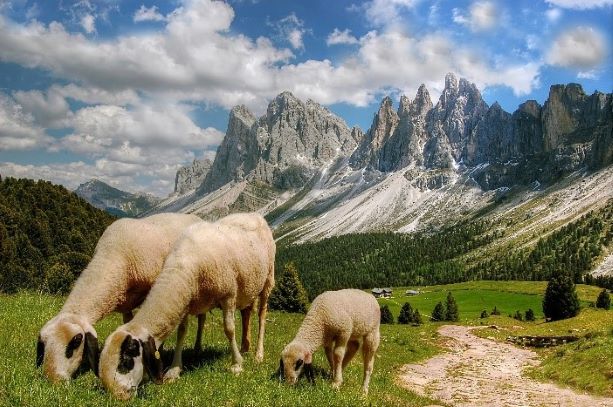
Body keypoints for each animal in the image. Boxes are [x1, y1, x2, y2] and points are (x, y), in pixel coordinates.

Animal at [37, 212, 202, 384]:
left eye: (76, 341)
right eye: (43, 343)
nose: (53, 379)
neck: (113, 255)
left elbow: (179, 329)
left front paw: (169, 368)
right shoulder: (126, 302)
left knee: (200, 320)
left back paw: (197, 348)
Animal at [98, 214, 274, 402]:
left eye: (125, 362)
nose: (120, 396)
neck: (184, 265)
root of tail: (253, 215)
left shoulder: (228, 294)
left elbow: (229, 329)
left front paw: (236, 365)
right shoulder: (187, 301)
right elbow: (181, 332)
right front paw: (174, 370)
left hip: (268, 279)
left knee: (261, 316)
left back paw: (258, 354)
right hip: (248, 287)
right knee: (247, 313)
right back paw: (244, 348)